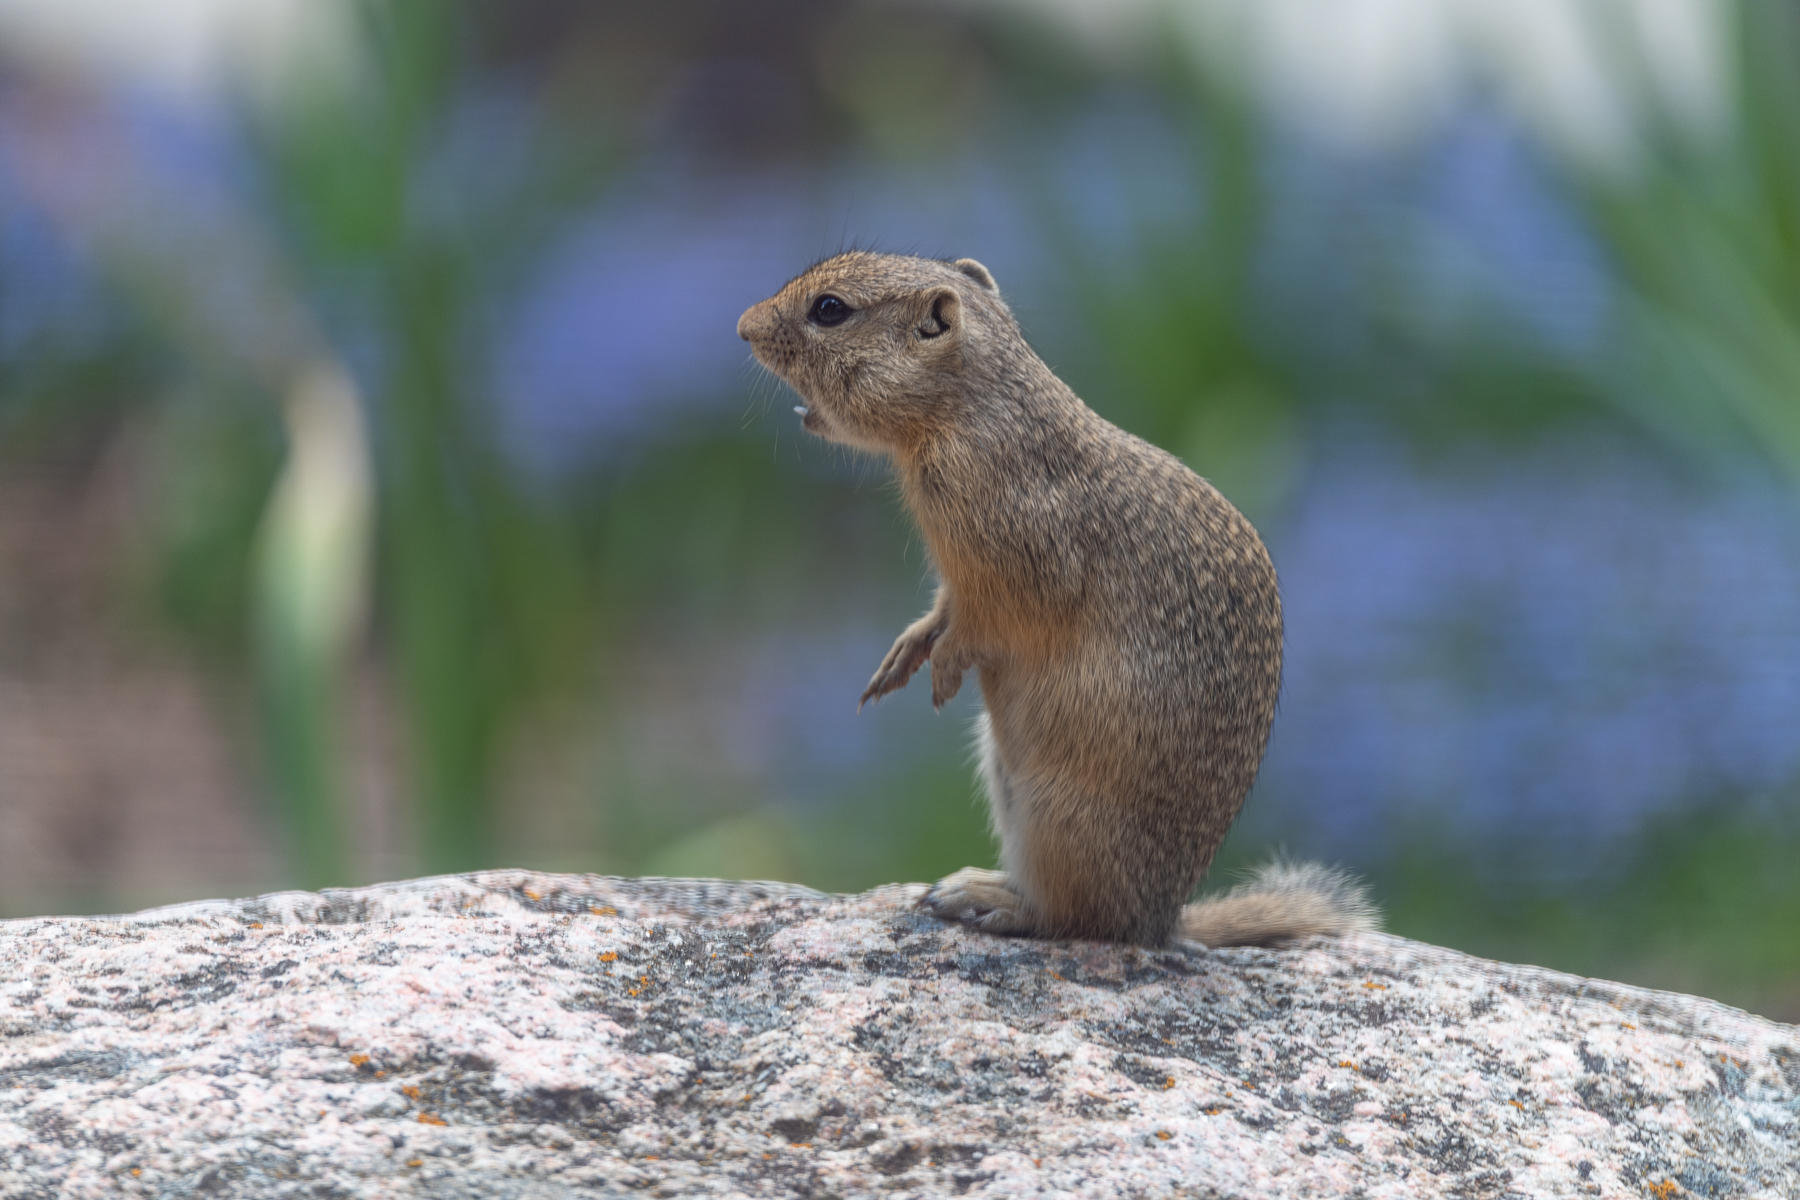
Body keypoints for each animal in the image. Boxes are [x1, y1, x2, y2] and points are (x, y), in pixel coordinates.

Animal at [738, 251, 1368, 949]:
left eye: (830, 310)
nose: (743, 327)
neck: (968, 417)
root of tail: (1163, 919)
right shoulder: (957, 579)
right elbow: (943, 608)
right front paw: (905, 652)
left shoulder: (1014, 568)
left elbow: (981, 624)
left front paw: (945, 665)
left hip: (1061, 818)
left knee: (1079, 919)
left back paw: (984, 898)